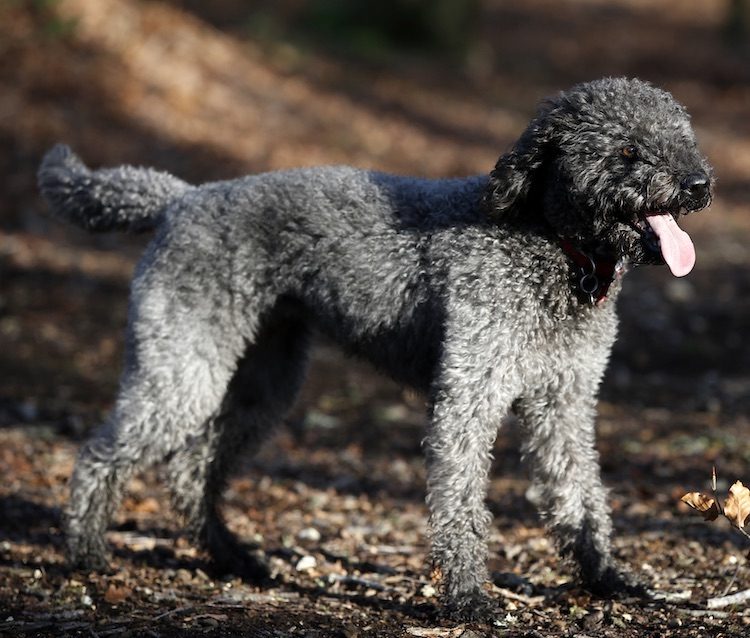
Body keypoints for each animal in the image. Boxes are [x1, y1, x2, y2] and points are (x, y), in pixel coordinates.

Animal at [36, 77, 716, 624]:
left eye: (682, 138)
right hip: (183, 369)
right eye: (625, 149)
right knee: (102, 451)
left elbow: (580, 496)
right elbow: (461, 504)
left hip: (263, 381)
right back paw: (88, 552)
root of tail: (179, 200)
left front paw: (605, 578)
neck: (550, 246)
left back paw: (234, 559)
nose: (698, 183)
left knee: (192, 468)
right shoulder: (467, 400)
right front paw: (468, 598)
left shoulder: (565, 405)